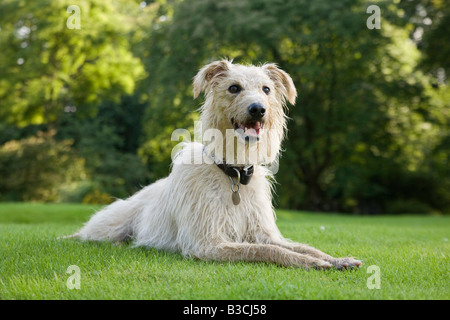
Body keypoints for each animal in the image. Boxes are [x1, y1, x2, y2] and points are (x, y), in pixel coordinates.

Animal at [73, 60, 362, 270]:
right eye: (234, 88)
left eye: (266, 89)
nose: (258, 109)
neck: (233, 174)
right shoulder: (207, 244)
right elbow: (267, 250)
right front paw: (312, 263)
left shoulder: (262, 232)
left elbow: (298, 245)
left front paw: (336, 259)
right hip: (109, 227)